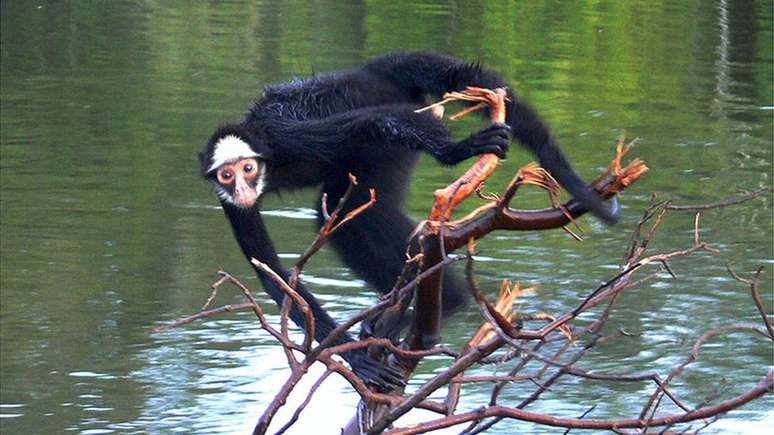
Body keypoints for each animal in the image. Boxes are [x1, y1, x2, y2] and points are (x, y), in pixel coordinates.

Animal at [200, 52, 620, 392]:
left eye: (248, 169)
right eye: (226, 176)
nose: (242, 188)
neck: (268, 161)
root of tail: (369, 73)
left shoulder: (287, 139)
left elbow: (375, 122)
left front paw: (456, 150)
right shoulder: (231, 203)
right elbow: (270, 271)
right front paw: (356, 358)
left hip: (384, 148)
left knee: (353, 205)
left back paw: (438, 305)